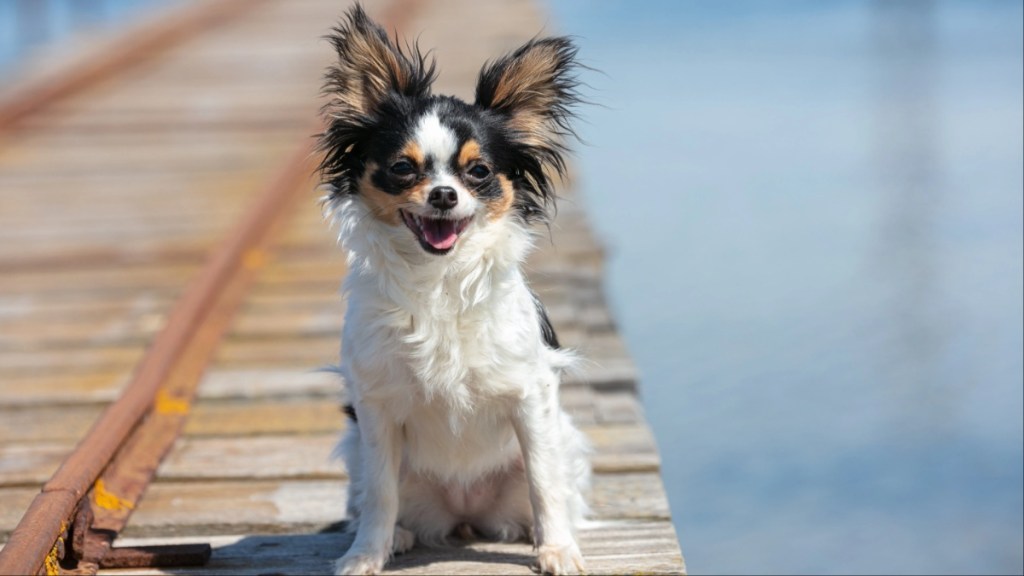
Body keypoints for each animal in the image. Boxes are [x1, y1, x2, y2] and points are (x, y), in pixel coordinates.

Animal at [319, 5, 593, 573]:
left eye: (479, 172)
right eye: (402, 168)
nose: (444, 194)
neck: (438, 277)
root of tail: (464, 516)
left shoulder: (531, 397)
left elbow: (544, 482)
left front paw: (558, 550)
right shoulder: (376, 410)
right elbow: (379, 493)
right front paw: (365, 555)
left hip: (563, 441)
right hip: (363, 450)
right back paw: (400, 535)